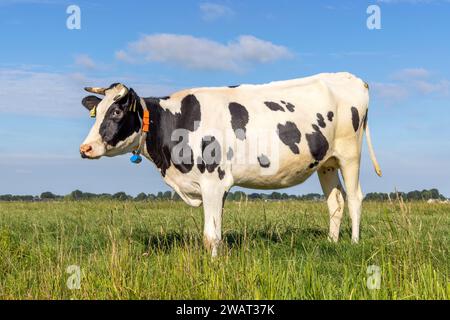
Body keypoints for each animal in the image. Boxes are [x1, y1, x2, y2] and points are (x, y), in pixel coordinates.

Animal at [80, 73, 380, 258]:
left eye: (116, 111)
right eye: (97, 113)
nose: (86, 148)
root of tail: (351, 78)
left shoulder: (213, 181)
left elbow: (210, 236)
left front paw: (213, 266)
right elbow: (216, 231)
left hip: (350, 155)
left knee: (354, 197)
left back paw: (353, 243)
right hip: (326, 163)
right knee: (335, 202)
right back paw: (331, 243)